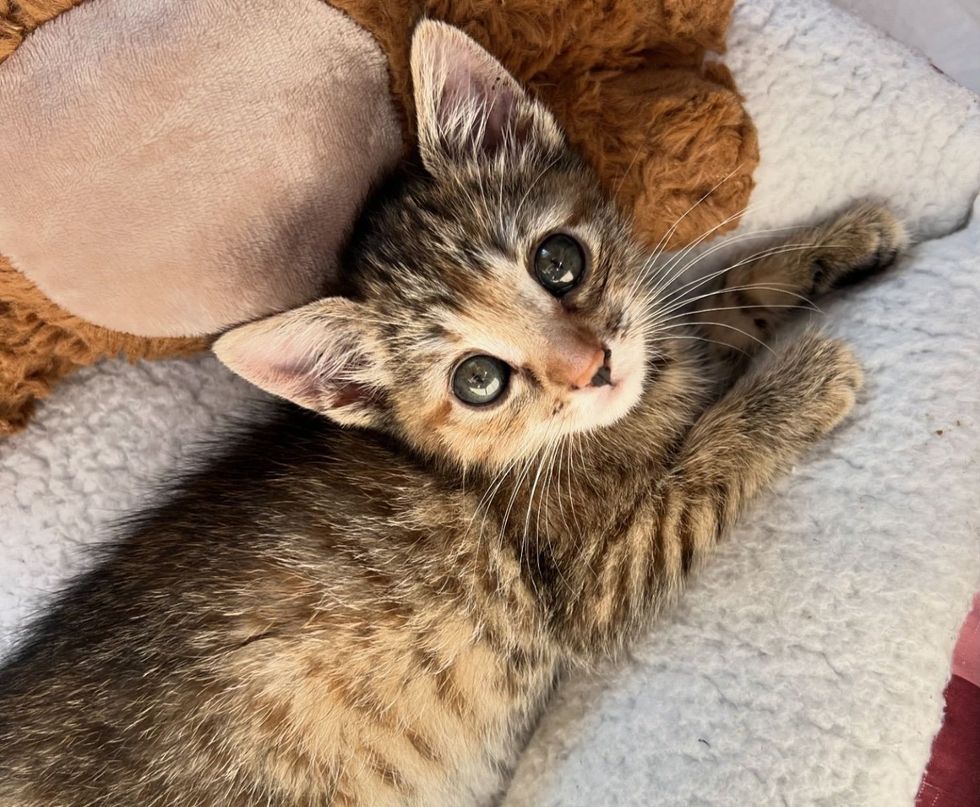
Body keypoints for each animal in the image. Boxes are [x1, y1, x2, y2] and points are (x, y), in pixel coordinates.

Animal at [0, 19, 904, 807]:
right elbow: (708, 460)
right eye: (478, 380)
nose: (593, 366)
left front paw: (840, 239)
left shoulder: (656, 343)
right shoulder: (595, 583)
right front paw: (800, 380)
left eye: (559, 260)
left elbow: (710, 304)